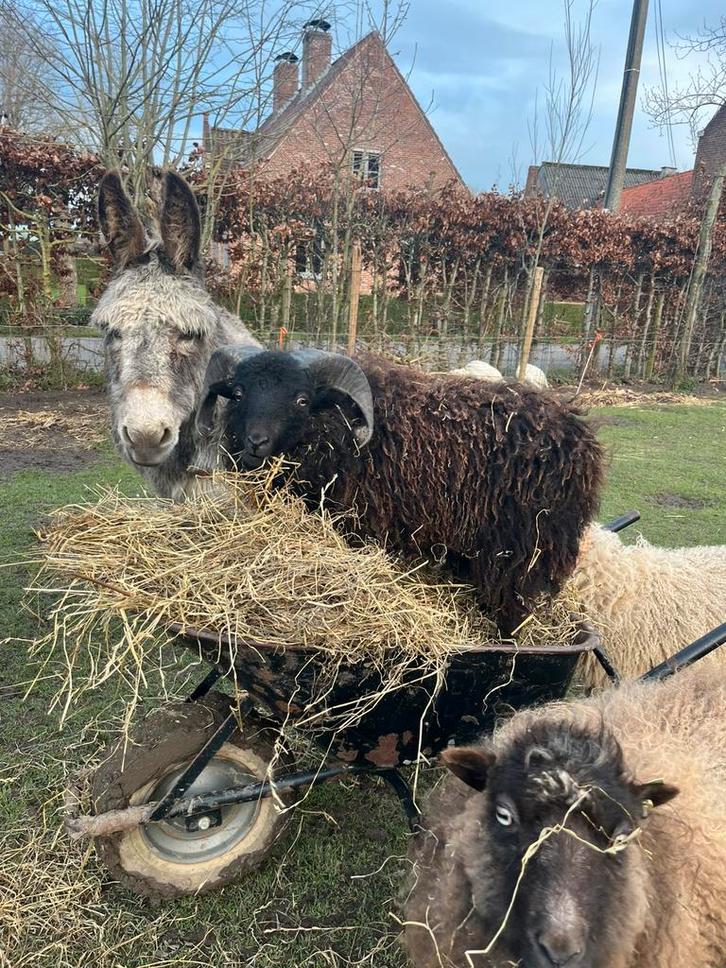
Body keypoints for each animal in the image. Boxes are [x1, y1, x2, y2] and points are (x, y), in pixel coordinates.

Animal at [196, 348, 604, 633]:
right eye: (237, 394)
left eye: (301, 399)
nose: (256, 442)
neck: (341, 423)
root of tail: (581, 440)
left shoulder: (356, 523)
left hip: (519, 551)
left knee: (511, 608)